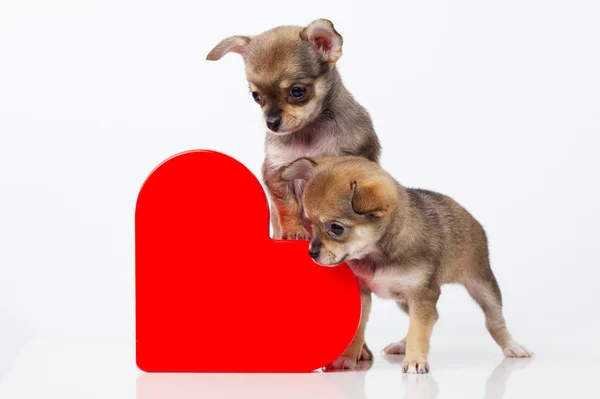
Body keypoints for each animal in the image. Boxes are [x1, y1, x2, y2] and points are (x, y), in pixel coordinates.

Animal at [206, 20, 380, 241]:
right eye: (256, 96)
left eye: (297, 91)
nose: (271, 122)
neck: (308, 132)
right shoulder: (276, 171)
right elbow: (288, 206)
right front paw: (294, 232)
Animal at [278, 157, 532, 376]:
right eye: (309, 223)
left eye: (336, 228)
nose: (311, 253)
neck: (376, 254)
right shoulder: (367, 293)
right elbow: (360, 330)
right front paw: (347, 358)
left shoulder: (422, 294)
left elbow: (418, 330)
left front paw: (416, 361)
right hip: (404, 300)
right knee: (434, 316)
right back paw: (401, 345)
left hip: (482, 285)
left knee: (494, 321)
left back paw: (513, 346)